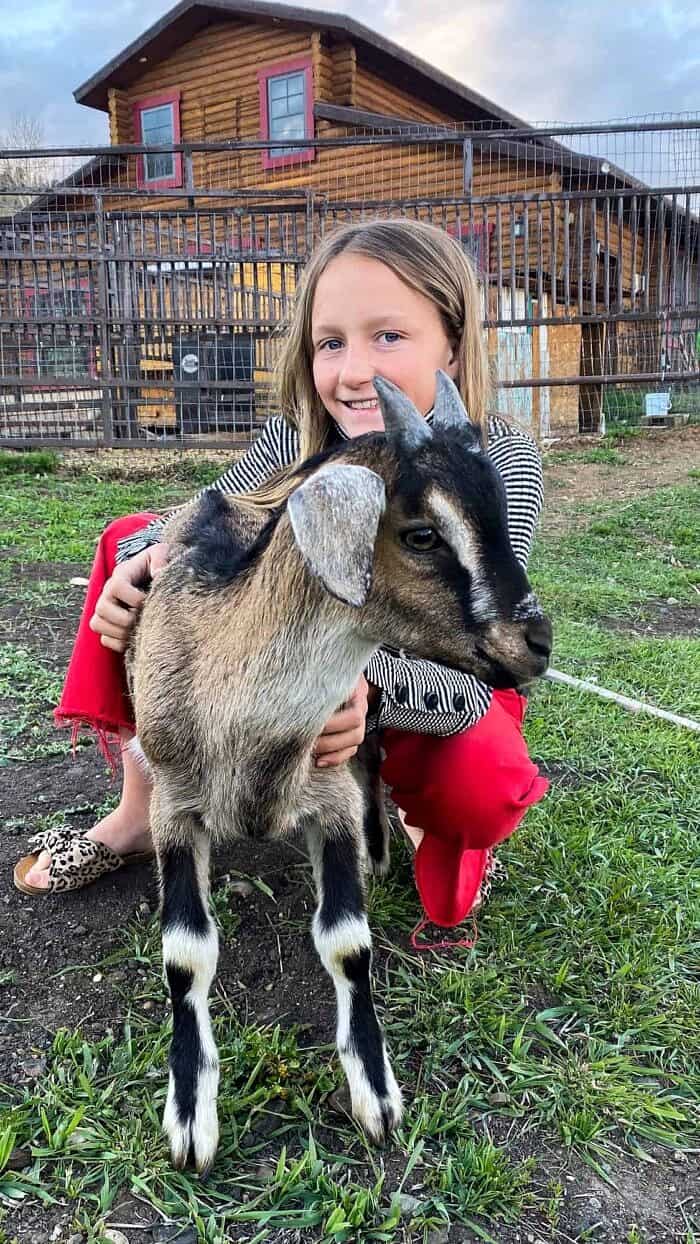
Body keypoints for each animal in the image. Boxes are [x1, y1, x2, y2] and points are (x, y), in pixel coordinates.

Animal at [129, 371, 552, 1175]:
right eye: (421, 533)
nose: (536, 641)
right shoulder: (175, 804)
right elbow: (186, 955)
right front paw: (191, 1114)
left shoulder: (325, 793)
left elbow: (347, 940)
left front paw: (376, 1094)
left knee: (376, 759)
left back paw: (381, 849)